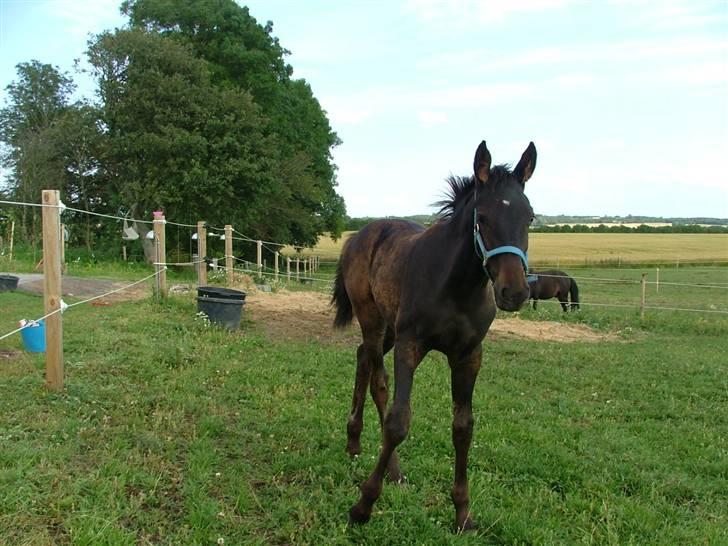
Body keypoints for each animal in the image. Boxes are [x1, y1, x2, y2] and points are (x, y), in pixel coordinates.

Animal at [332, 138, 536, 528]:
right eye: (482, 217)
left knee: (363, 358)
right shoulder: (410, 344)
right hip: (373, 319)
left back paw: (353, 443)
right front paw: (363, 505)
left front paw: (462, 512)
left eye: (530, 217)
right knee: (377, 379)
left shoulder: (469, 354)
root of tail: (360, 235)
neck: (457, 287)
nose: (514, 292)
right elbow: (398, 421)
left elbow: (463, 427)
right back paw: (390, 468)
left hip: (389, 326)